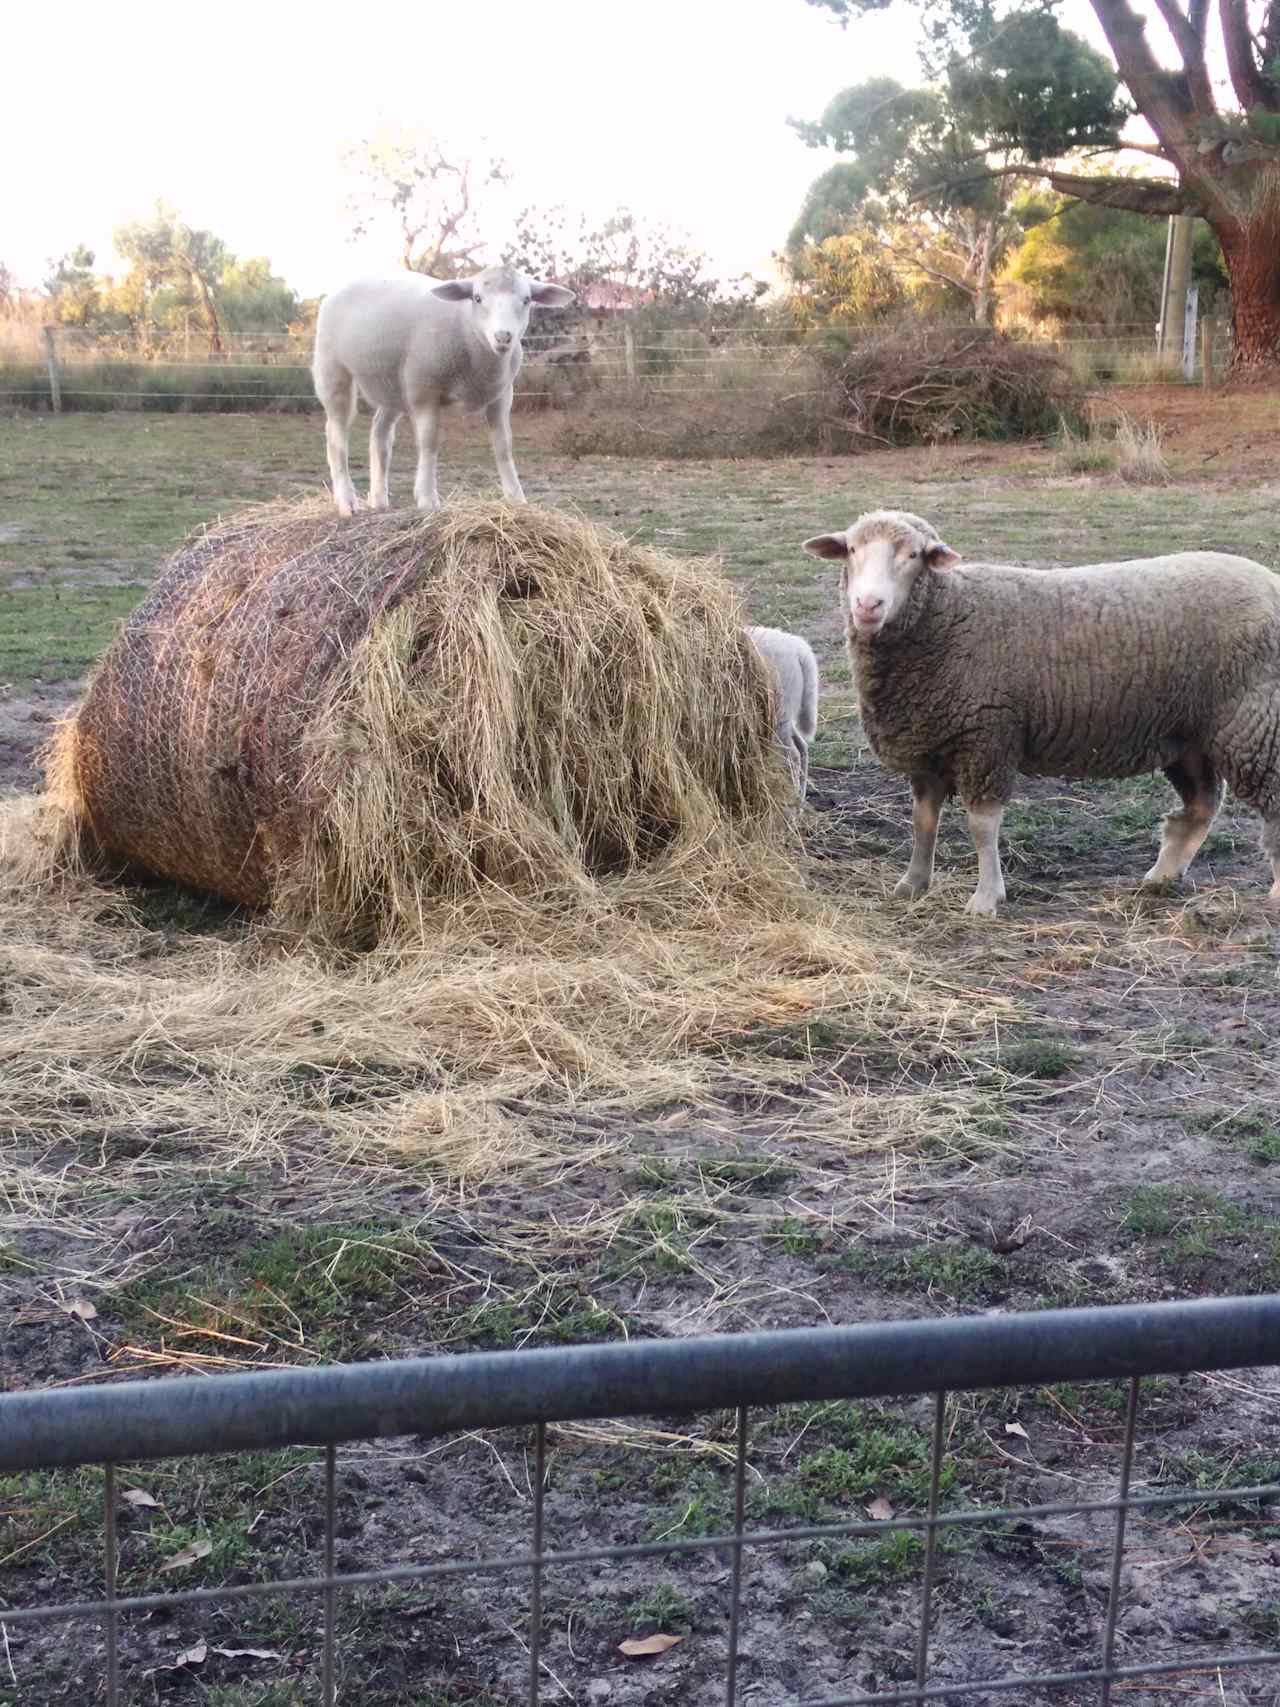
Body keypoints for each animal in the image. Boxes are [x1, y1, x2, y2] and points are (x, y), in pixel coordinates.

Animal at [747, 624, 826, 795]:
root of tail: (800, 650)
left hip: (779, 712)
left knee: (793, 755)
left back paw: (794, 797)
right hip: (786, 714)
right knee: (802, 748)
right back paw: (801, 795)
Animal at [802, 508, 1280, 921]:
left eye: (914, 555)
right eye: (851, 549)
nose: (868, 605)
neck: (948, 617)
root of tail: (1269, 579)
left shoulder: (987, 737)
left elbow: (982, 826)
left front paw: (985, 898)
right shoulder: (929, 745)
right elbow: (923, 822)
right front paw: (912, 884)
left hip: (1254, 722)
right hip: (1188, 734)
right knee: (1201, 805)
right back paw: (1161, 877)